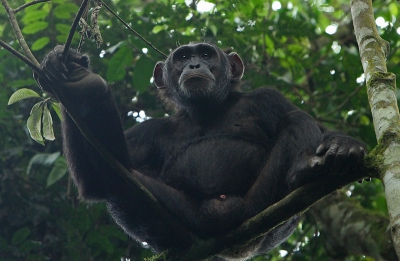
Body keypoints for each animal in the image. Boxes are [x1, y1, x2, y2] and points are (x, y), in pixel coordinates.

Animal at [36, 43, 368, 258]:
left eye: (206, 54)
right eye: (183, 57)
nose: (195, 65)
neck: (207, 109)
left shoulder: (268, 98)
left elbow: (313, 126)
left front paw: (344, 144)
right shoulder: (148, 132)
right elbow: (95, 179)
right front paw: (69, 74)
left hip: (261, 210)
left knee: (296, 120)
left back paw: (303, 170)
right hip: (194, 219)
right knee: (116, 181)